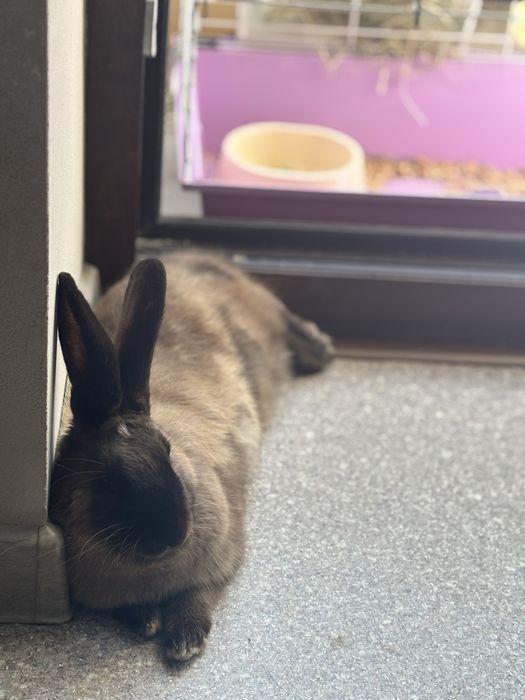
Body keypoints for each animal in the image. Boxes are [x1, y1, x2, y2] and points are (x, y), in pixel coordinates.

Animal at [49, 250, 333, 662]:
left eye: (166, 451)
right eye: (108, 479)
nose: (175, 533)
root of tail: (191, 256)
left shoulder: (223, 558)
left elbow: (198, 596)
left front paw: (185, 640)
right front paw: (147, 620)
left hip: (263, 312)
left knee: (286, 321)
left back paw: (320, 349)